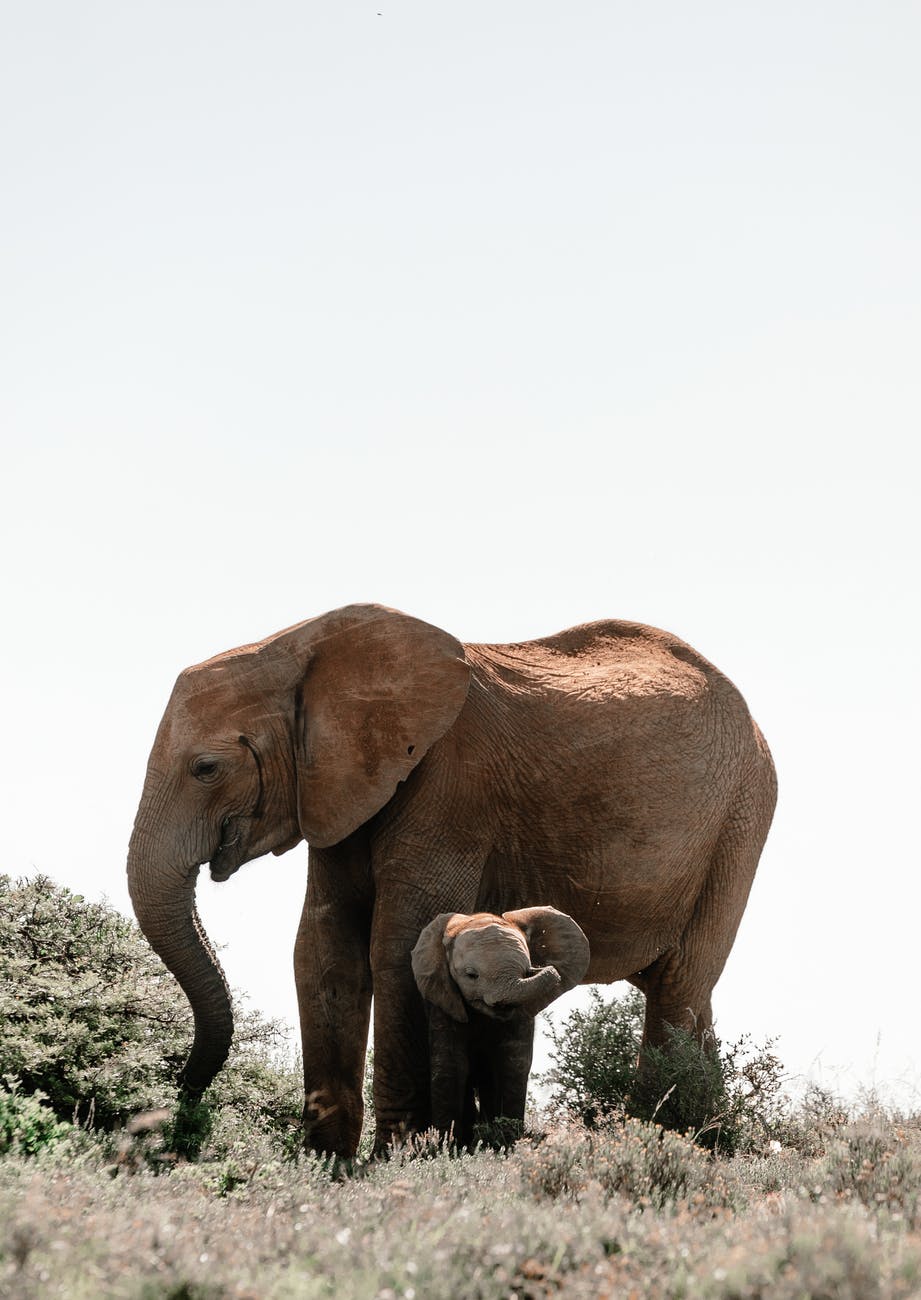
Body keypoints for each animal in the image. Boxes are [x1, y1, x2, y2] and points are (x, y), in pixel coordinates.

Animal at [411, 906, 590, 1145]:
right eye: (471, 975)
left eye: (526, 972)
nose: (543, 969)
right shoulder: (444, 1002)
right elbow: (450, 1064)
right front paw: (444, 1145)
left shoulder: (521, 1013)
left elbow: (512, 1062)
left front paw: (508, 1142)